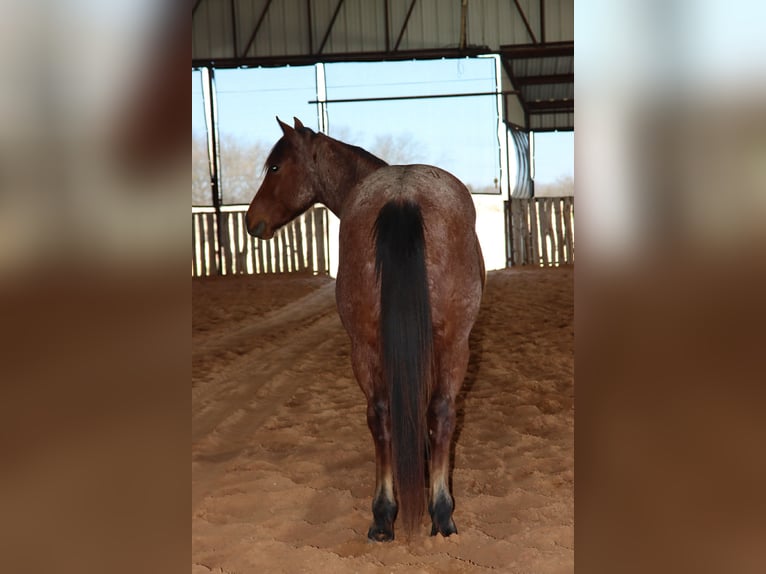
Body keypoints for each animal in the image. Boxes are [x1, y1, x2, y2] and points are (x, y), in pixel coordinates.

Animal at [246, 117, 485, 541]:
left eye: (275, 167)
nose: (250, 221)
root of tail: (403, 197)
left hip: (385, 347)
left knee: (389, 415)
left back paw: (394, 515)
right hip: (446, 346)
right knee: (433, 413)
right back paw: (432, 513)